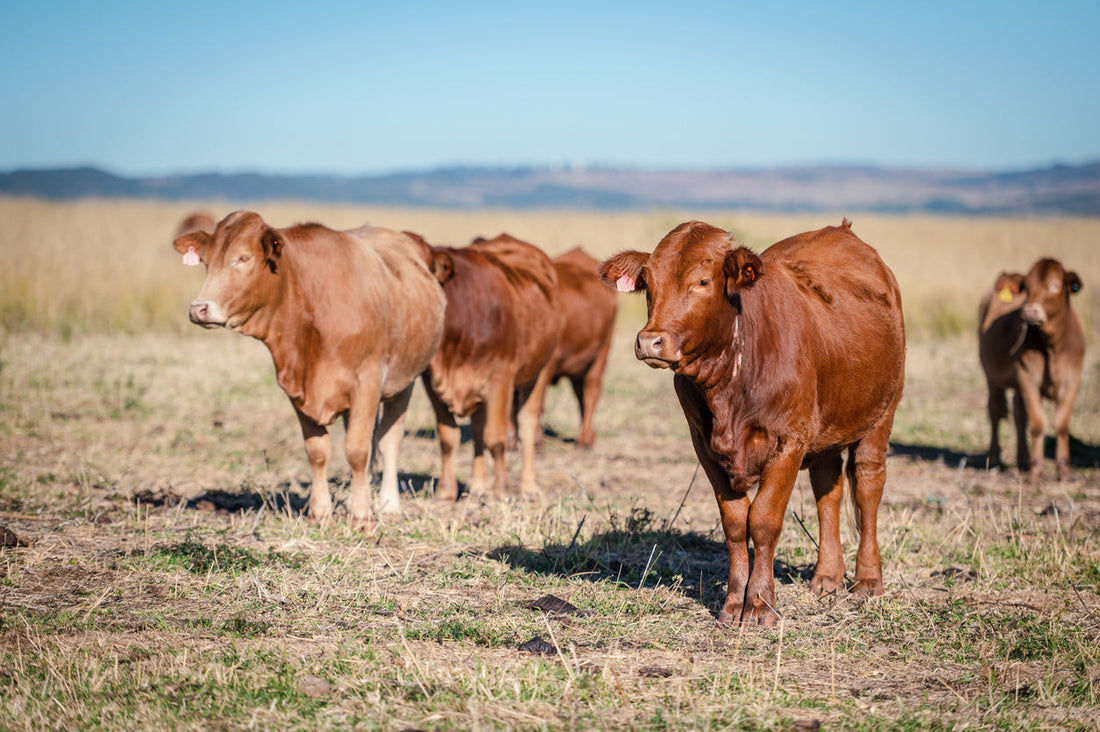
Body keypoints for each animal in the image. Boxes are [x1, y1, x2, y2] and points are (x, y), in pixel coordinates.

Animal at [173, 211, 446, 529]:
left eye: (243, 258)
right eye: (206, 261)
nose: (199, 309)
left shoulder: (367, 381)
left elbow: (358, 450)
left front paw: (361, 515)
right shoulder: (297, 388)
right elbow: (317, 451)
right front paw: (321, 511)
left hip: (404, 381)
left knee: (388, 441)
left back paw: (388, 503)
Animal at [410, 232, 562, 500]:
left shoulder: (500, 380)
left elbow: (496, 438)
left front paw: (502, 490)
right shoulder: (431, 383)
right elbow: (449, 438)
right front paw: (446, 491)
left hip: (540, 371)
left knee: (526, 425)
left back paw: (529, 484)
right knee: (479, 427)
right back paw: (479, 484)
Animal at [600, 219, 905, 626]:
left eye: (702, 281)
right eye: (648, 281)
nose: (650, 341)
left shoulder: (788, 442)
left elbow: (763, 520)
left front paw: (760, 604)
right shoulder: (705, 446)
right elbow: (734, 523)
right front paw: (733, 603)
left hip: (882, 413)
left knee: (869, 485)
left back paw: (868, 580)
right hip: (826, 429)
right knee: (828, 488)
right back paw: (827, 577)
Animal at [979, 258, 1085, 482]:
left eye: (1055, 285)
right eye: (1027, 287)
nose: (1030, 312)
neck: (1053, 347)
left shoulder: (1073, 378)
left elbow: (1062, 424)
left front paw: (1065, 470)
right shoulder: (1028, 377)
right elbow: (1037, 423)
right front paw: (1036, 471)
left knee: (1019, 414)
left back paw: (1022, 460)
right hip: (991, 375)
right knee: (995, 410)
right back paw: (995, 458)